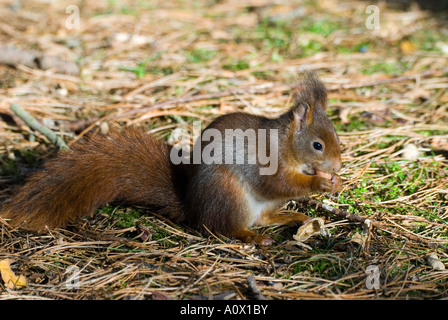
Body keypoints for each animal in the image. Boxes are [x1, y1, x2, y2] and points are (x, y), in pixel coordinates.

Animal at [0, 72, 344, 244]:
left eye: (337, 138)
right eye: (317, 145)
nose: (338, 165)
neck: (287, 144)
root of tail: (192, 206)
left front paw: (335, 181)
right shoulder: (268, 161)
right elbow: (279, 183)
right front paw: (320, 183)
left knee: (262, 217)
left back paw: (290, 218)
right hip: (228, 194)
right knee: (222, 228)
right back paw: (253, 237)